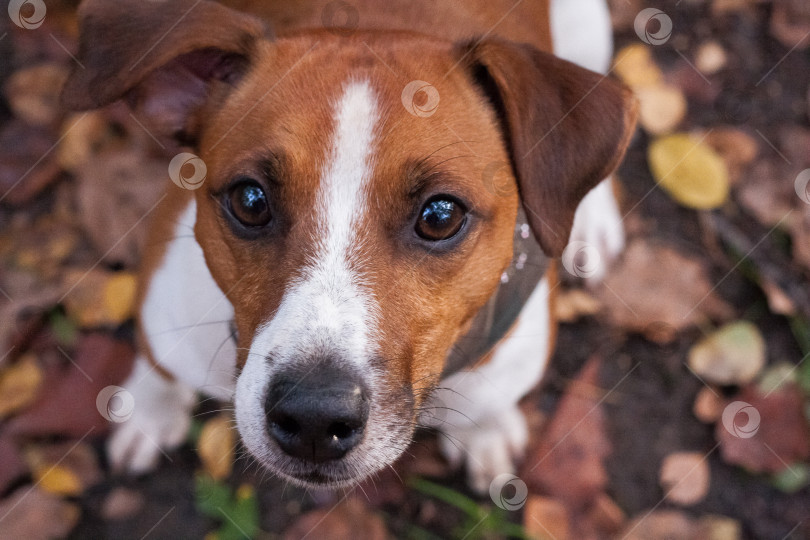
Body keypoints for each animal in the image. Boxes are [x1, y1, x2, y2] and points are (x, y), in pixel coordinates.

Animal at [61, 0, 632, 492]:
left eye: (441, 216)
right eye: (250, 200)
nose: (313, 417)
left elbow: (489, 402)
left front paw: (484, 431)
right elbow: (159, 366)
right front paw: (149, 410)